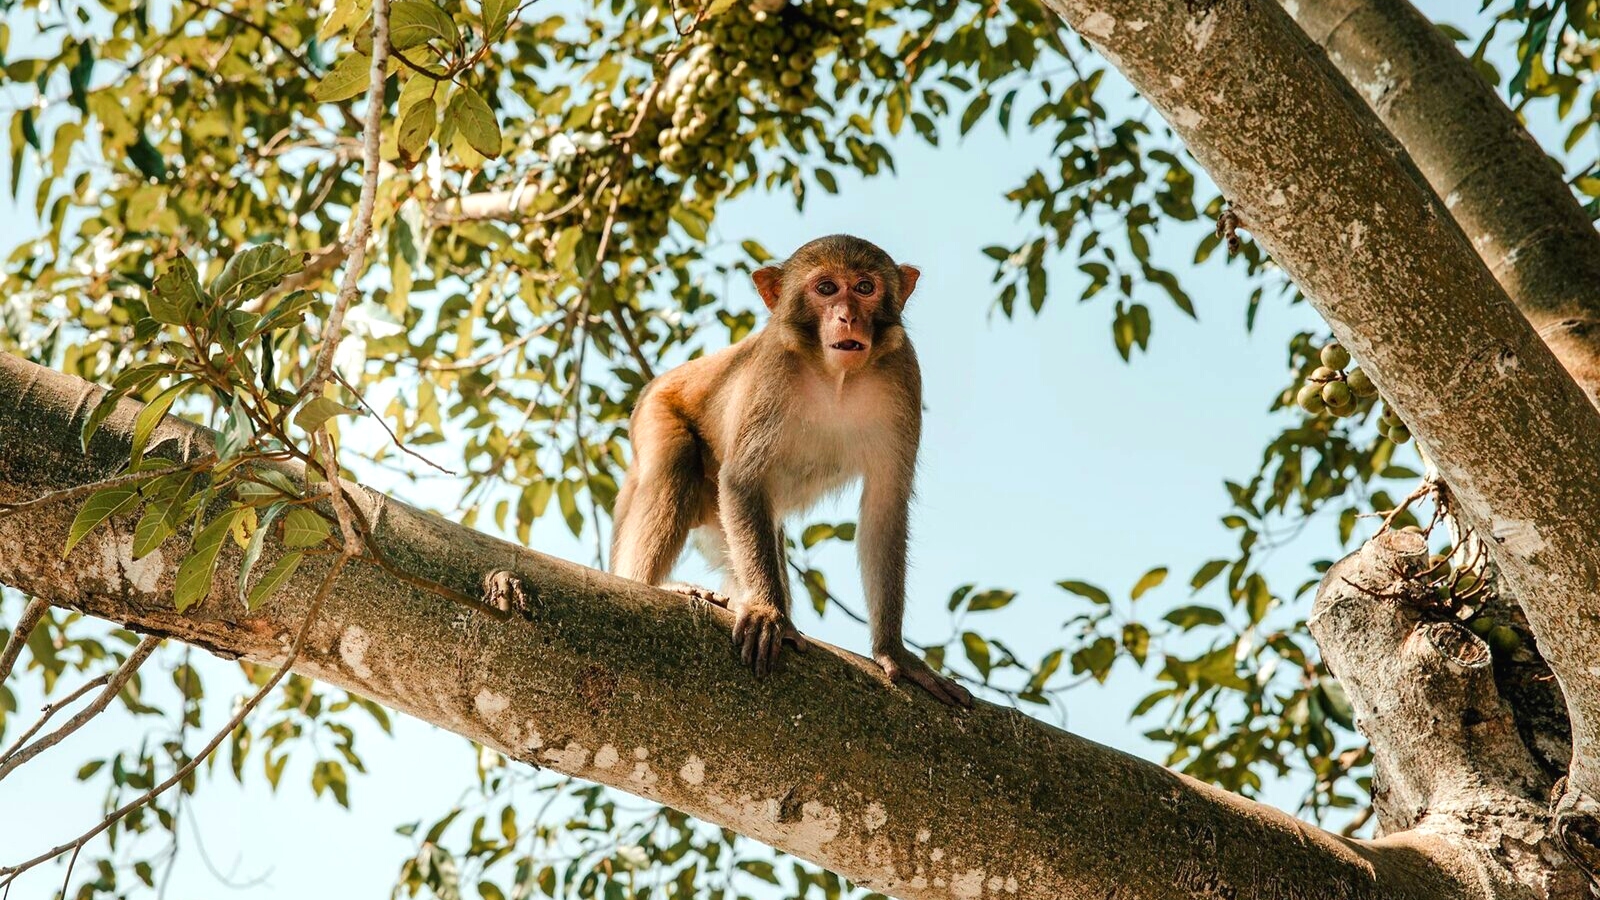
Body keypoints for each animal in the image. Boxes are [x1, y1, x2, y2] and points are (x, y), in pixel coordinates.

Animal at [606, 234, 972, 707]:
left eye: (865, 287)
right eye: (827, 288)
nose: (847, 317)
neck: (836, 379)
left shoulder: (904, 373)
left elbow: (885, 509)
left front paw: (895, 652)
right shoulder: (773, 370)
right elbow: (743, 481)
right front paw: (767, 612)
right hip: (654, 413)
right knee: (677, 462)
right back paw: (653, 584)